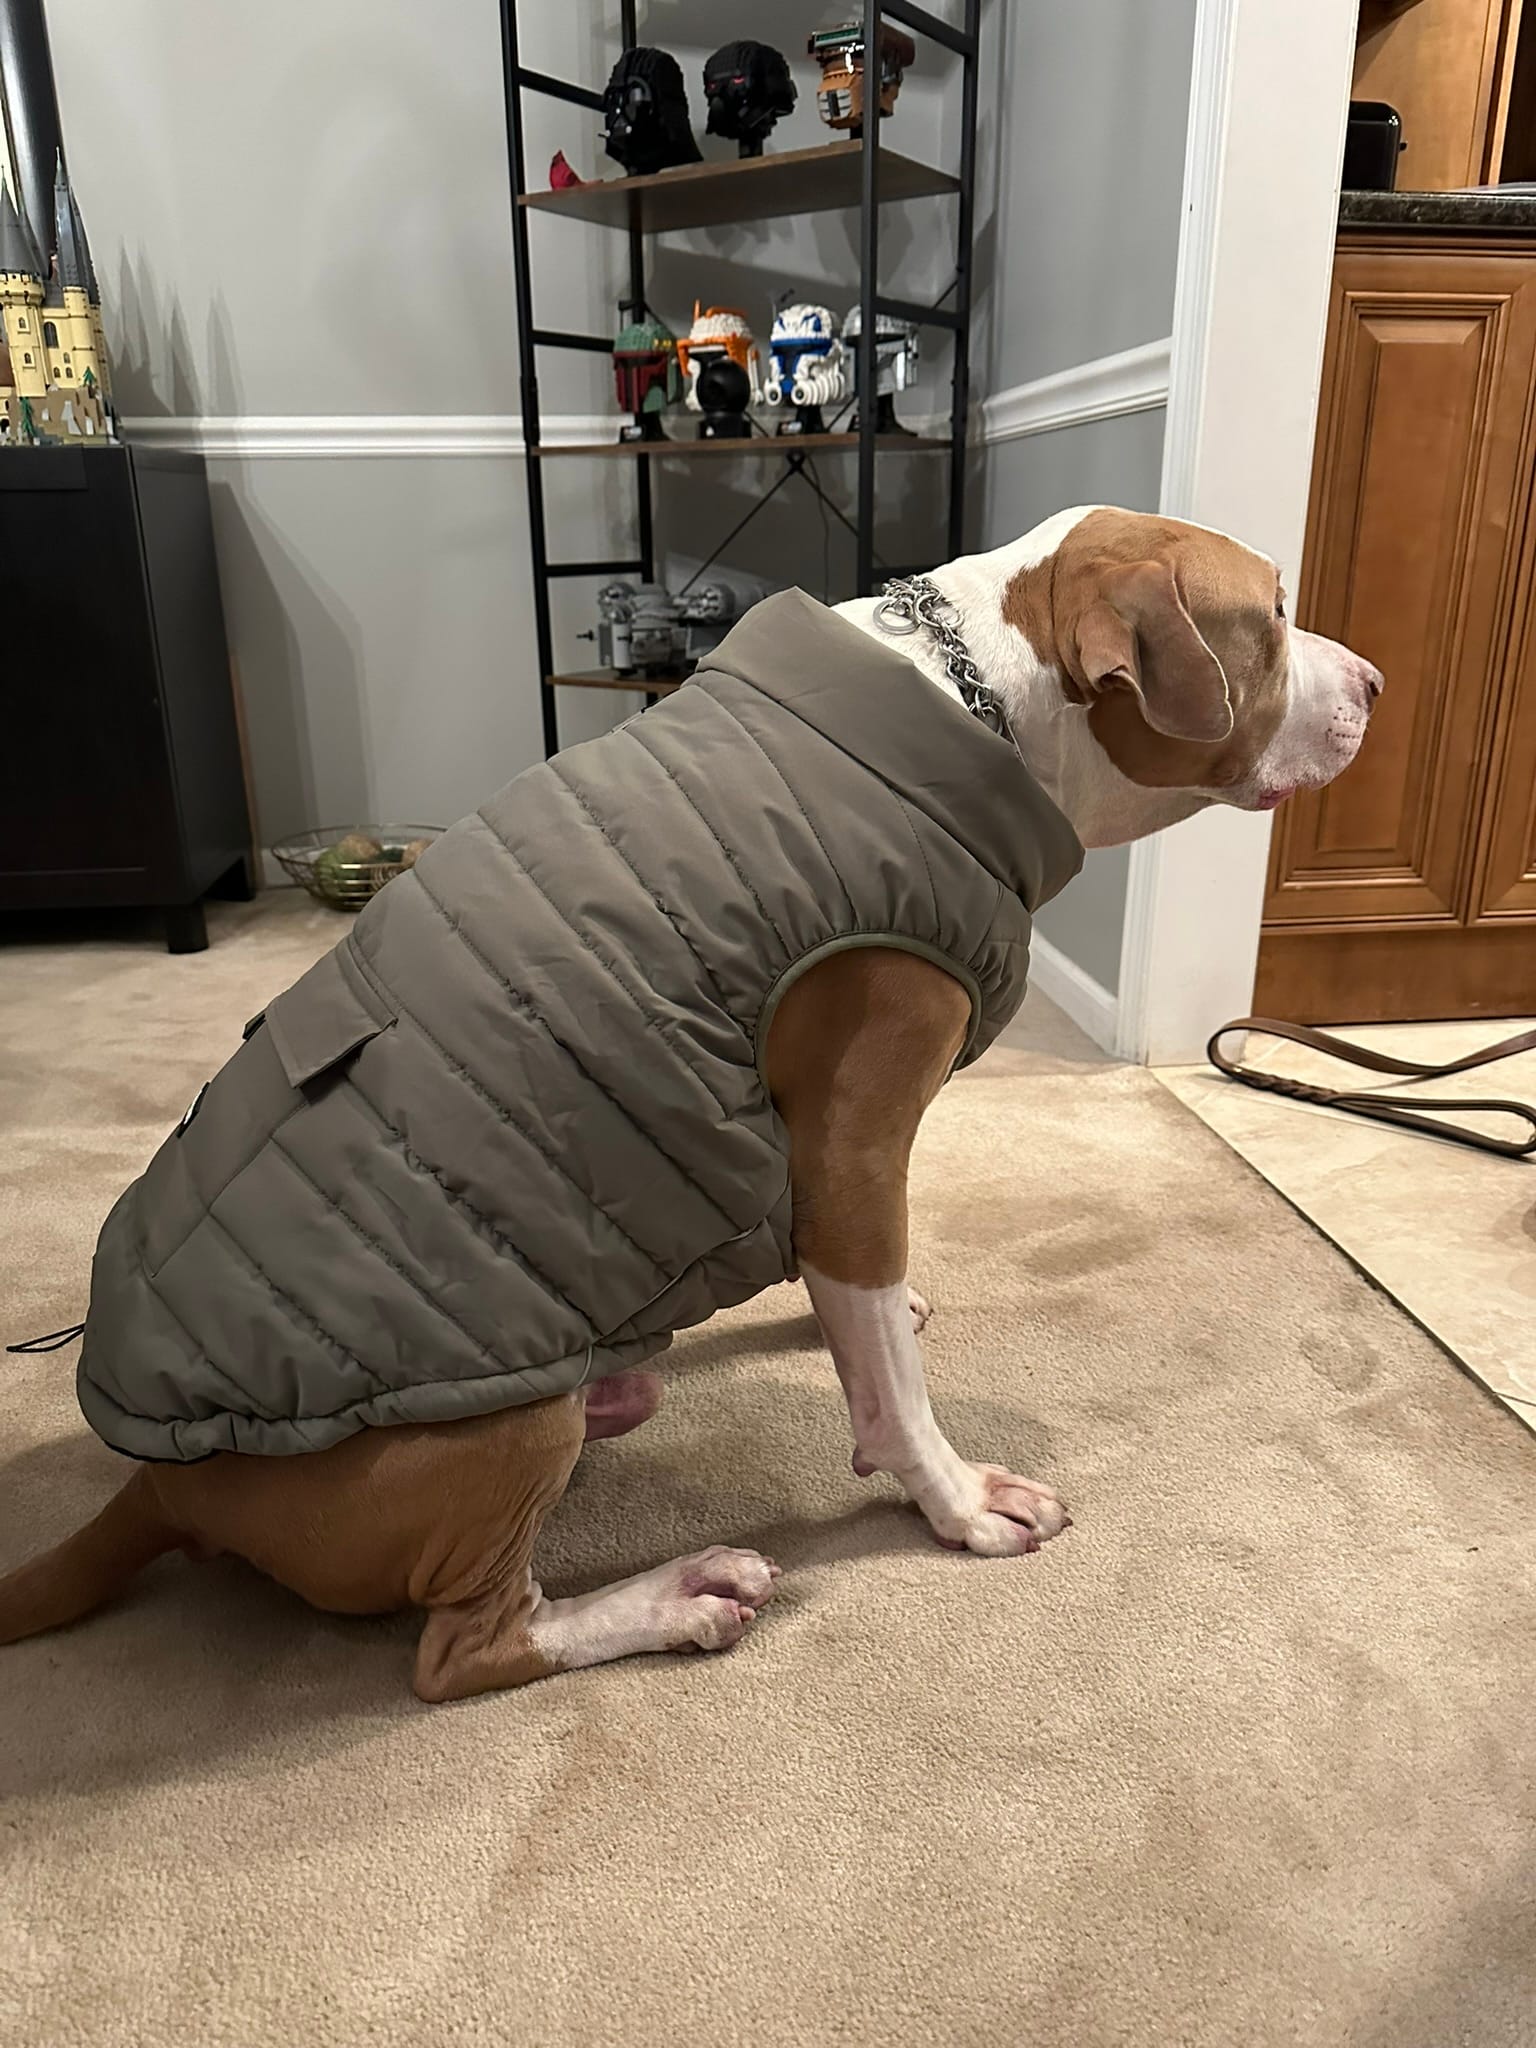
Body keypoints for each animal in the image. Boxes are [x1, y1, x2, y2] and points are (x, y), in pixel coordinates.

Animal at [0, 507, 1392, 1695]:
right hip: (494, 1432)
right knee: (469, 1646)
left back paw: (630, 1389)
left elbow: (853, 1299)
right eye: (1272, 613)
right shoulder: (856, 1139)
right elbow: (887, 1374)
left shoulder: (820, 1174)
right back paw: (672, 1595)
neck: (981, 695)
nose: (1378, 681)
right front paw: (952, 1500)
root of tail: (162, 1487)